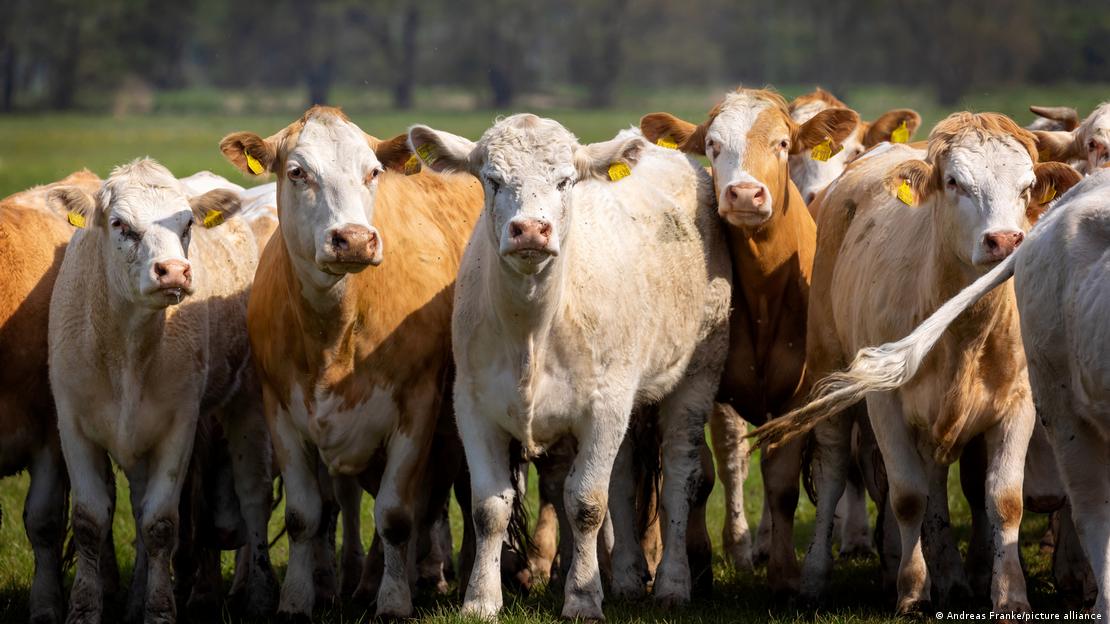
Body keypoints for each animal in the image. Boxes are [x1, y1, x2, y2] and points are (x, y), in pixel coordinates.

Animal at [47, 159, 278, 624]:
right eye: (119, 224)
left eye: (186, 223)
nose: (173, 270)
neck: (126, 350)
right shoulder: (73, 424)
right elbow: (90, 522)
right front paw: (86, 608)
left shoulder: (178, 426)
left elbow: (160, 524)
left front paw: (158, 610)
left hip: (246, 405)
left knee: (253, 496)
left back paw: (260, 597)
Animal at [219, 105, 484, 619]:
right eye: (297, 172)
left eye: (373, 172)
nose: (355, 240)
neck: (334, 334)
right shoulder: (282, 413)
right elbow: (304, 516)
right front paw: (297, 600)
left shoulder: (416, 409)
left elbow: (397, 515)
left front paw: (394, 602)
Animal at [408, 116, 731, 619]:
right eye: (492, 179)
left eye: (565, 181)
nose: (530, 230)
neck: (533, 329)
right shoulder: (473, 405)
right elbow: (489, 507)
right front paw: (481, 599)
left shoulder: (606, 405)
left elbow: (585, 503)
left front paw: (581, 595)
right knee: (623, 478)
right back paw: (627, 577)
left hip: (697, 374)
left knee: (680, 474)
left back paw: (673, 582)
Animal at [639, 87, 859, 595]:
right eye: (712, 145)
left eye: (782, 143)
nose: (743, 193)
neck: (764, 292)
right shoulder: (705, 382)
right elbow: (699, 472)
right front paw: (697, 565)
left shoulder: (800, 394)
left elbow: (780, 481)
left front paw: (784, 573)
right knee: (731, 457)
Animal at [750, 112, 1082, 615]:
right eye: (955, 182)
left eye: (1026, 187)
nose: (1005, 240)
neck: (964, 332)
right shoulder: (884, 405)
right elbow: (907, 497)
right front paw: (911, 590)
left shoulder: (1017, 404)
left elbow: (1003, 500)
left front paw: (1009, 595)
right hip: (829, 369)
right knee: (833, 473)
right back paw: (814, 577)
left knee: (937, 481)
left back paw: (951, 577)